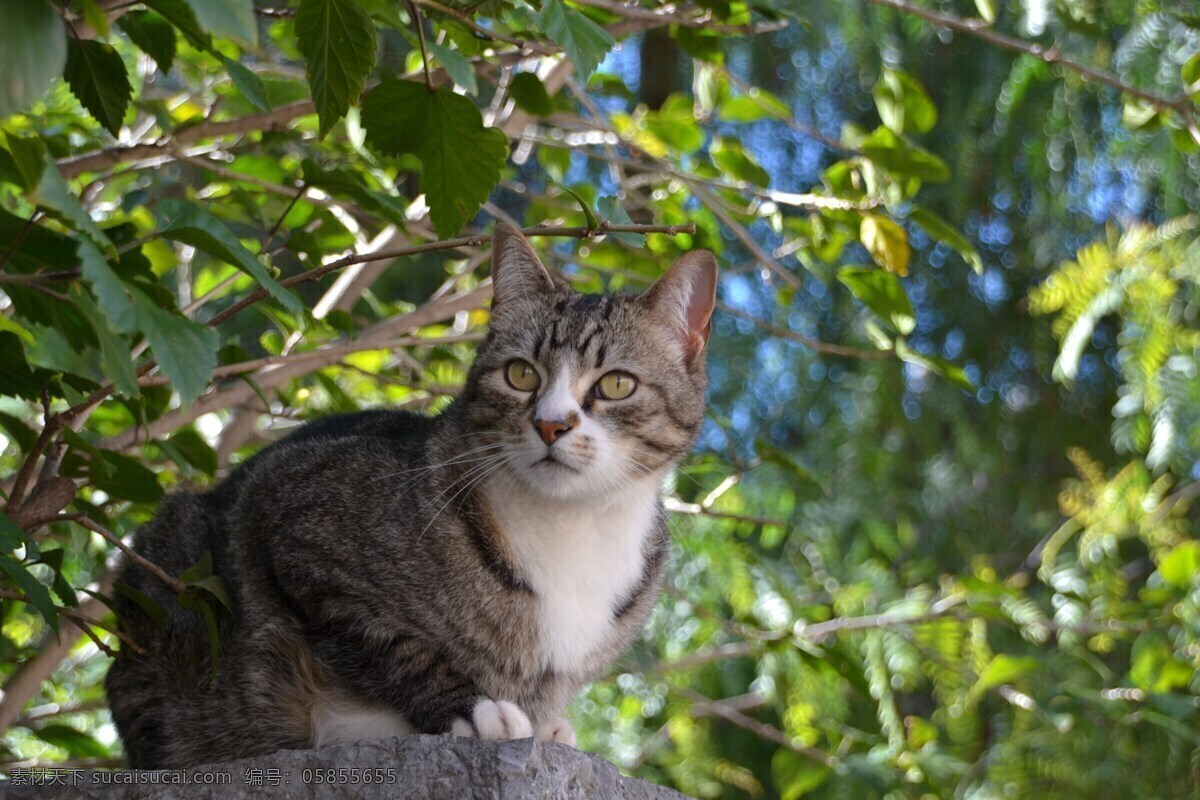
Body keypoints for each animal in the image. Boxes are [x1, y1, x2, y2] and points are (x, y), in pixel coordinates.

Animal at [105, 224, 710, 767]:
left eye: (616, 384)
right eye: (520, 374)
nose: (550, 424)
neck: (572, 524)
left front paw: (547, 721)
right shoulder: (294, 521)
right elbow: (392, 643)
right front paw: (474, 709)